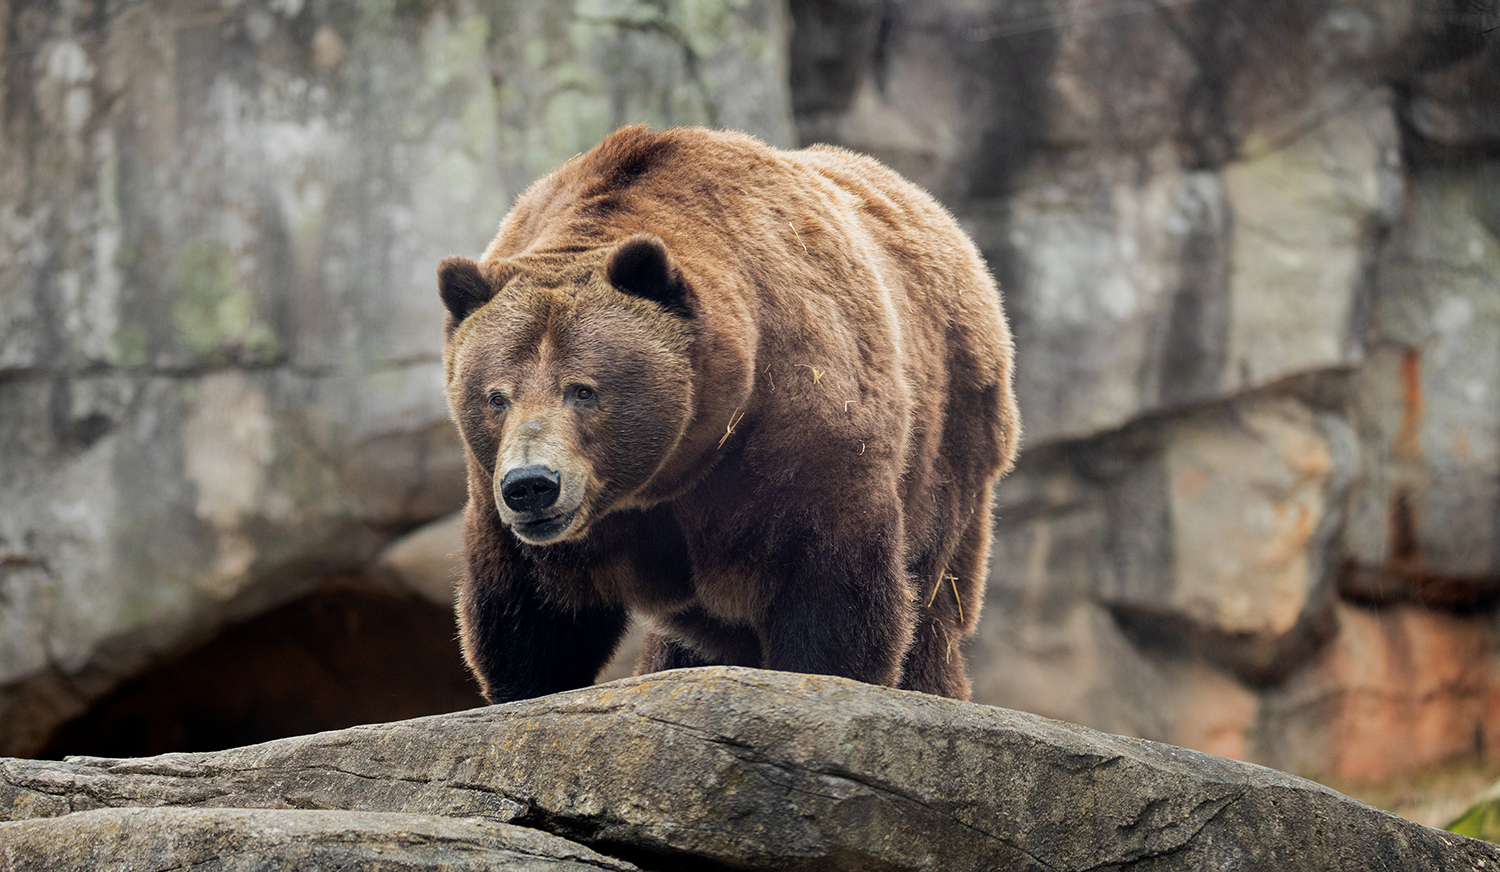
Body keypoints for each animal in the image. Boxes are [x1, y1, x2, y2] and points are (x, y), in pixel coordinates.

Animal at [438, 125, 1019, 703]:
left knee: (933, 590)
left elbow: (830, 586)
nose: (532, 484)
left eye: (582, 390)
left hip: (951, 435)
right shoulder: (506, 495)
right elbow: (532, 612)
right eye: (497, 396)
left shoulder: (796, 429)